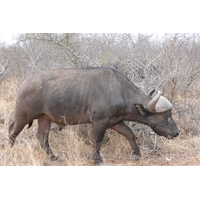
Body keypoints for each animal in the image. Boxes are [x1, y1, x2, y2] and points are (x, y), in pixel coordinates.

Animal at [8, 68, 179, 165]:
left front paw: (137, 154)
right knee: (12, 130)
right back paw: (9, 148)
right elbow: (97, 140)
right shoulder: (99, 122)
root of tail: (24, 83)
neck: (119, 91)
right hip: (23, 115)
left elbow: (130, 134)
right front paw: (97, 159)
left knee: (42, 137)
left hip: (45, 118)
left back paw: (53, 158)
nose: (177, 133)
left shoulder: (115, 122)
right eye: (166, 115)